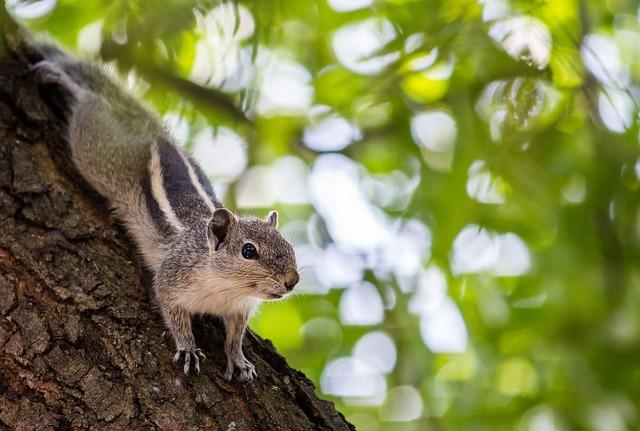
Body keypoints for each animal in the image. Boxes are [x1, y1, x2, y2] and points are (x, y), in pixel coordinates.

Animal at [34, 46, 302, 382]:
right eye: (249, 251)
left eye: (290, 247)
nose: (292, 281)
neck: (225, 286)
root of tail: (149, 133)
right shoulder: (173, 279)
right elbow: (174, 315)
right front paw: (187, 347)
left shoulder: (239, 309)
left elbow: (235, 336)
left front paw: (238, 359)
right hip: (98, 149)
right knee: (90, 106)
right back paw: (62, 78)